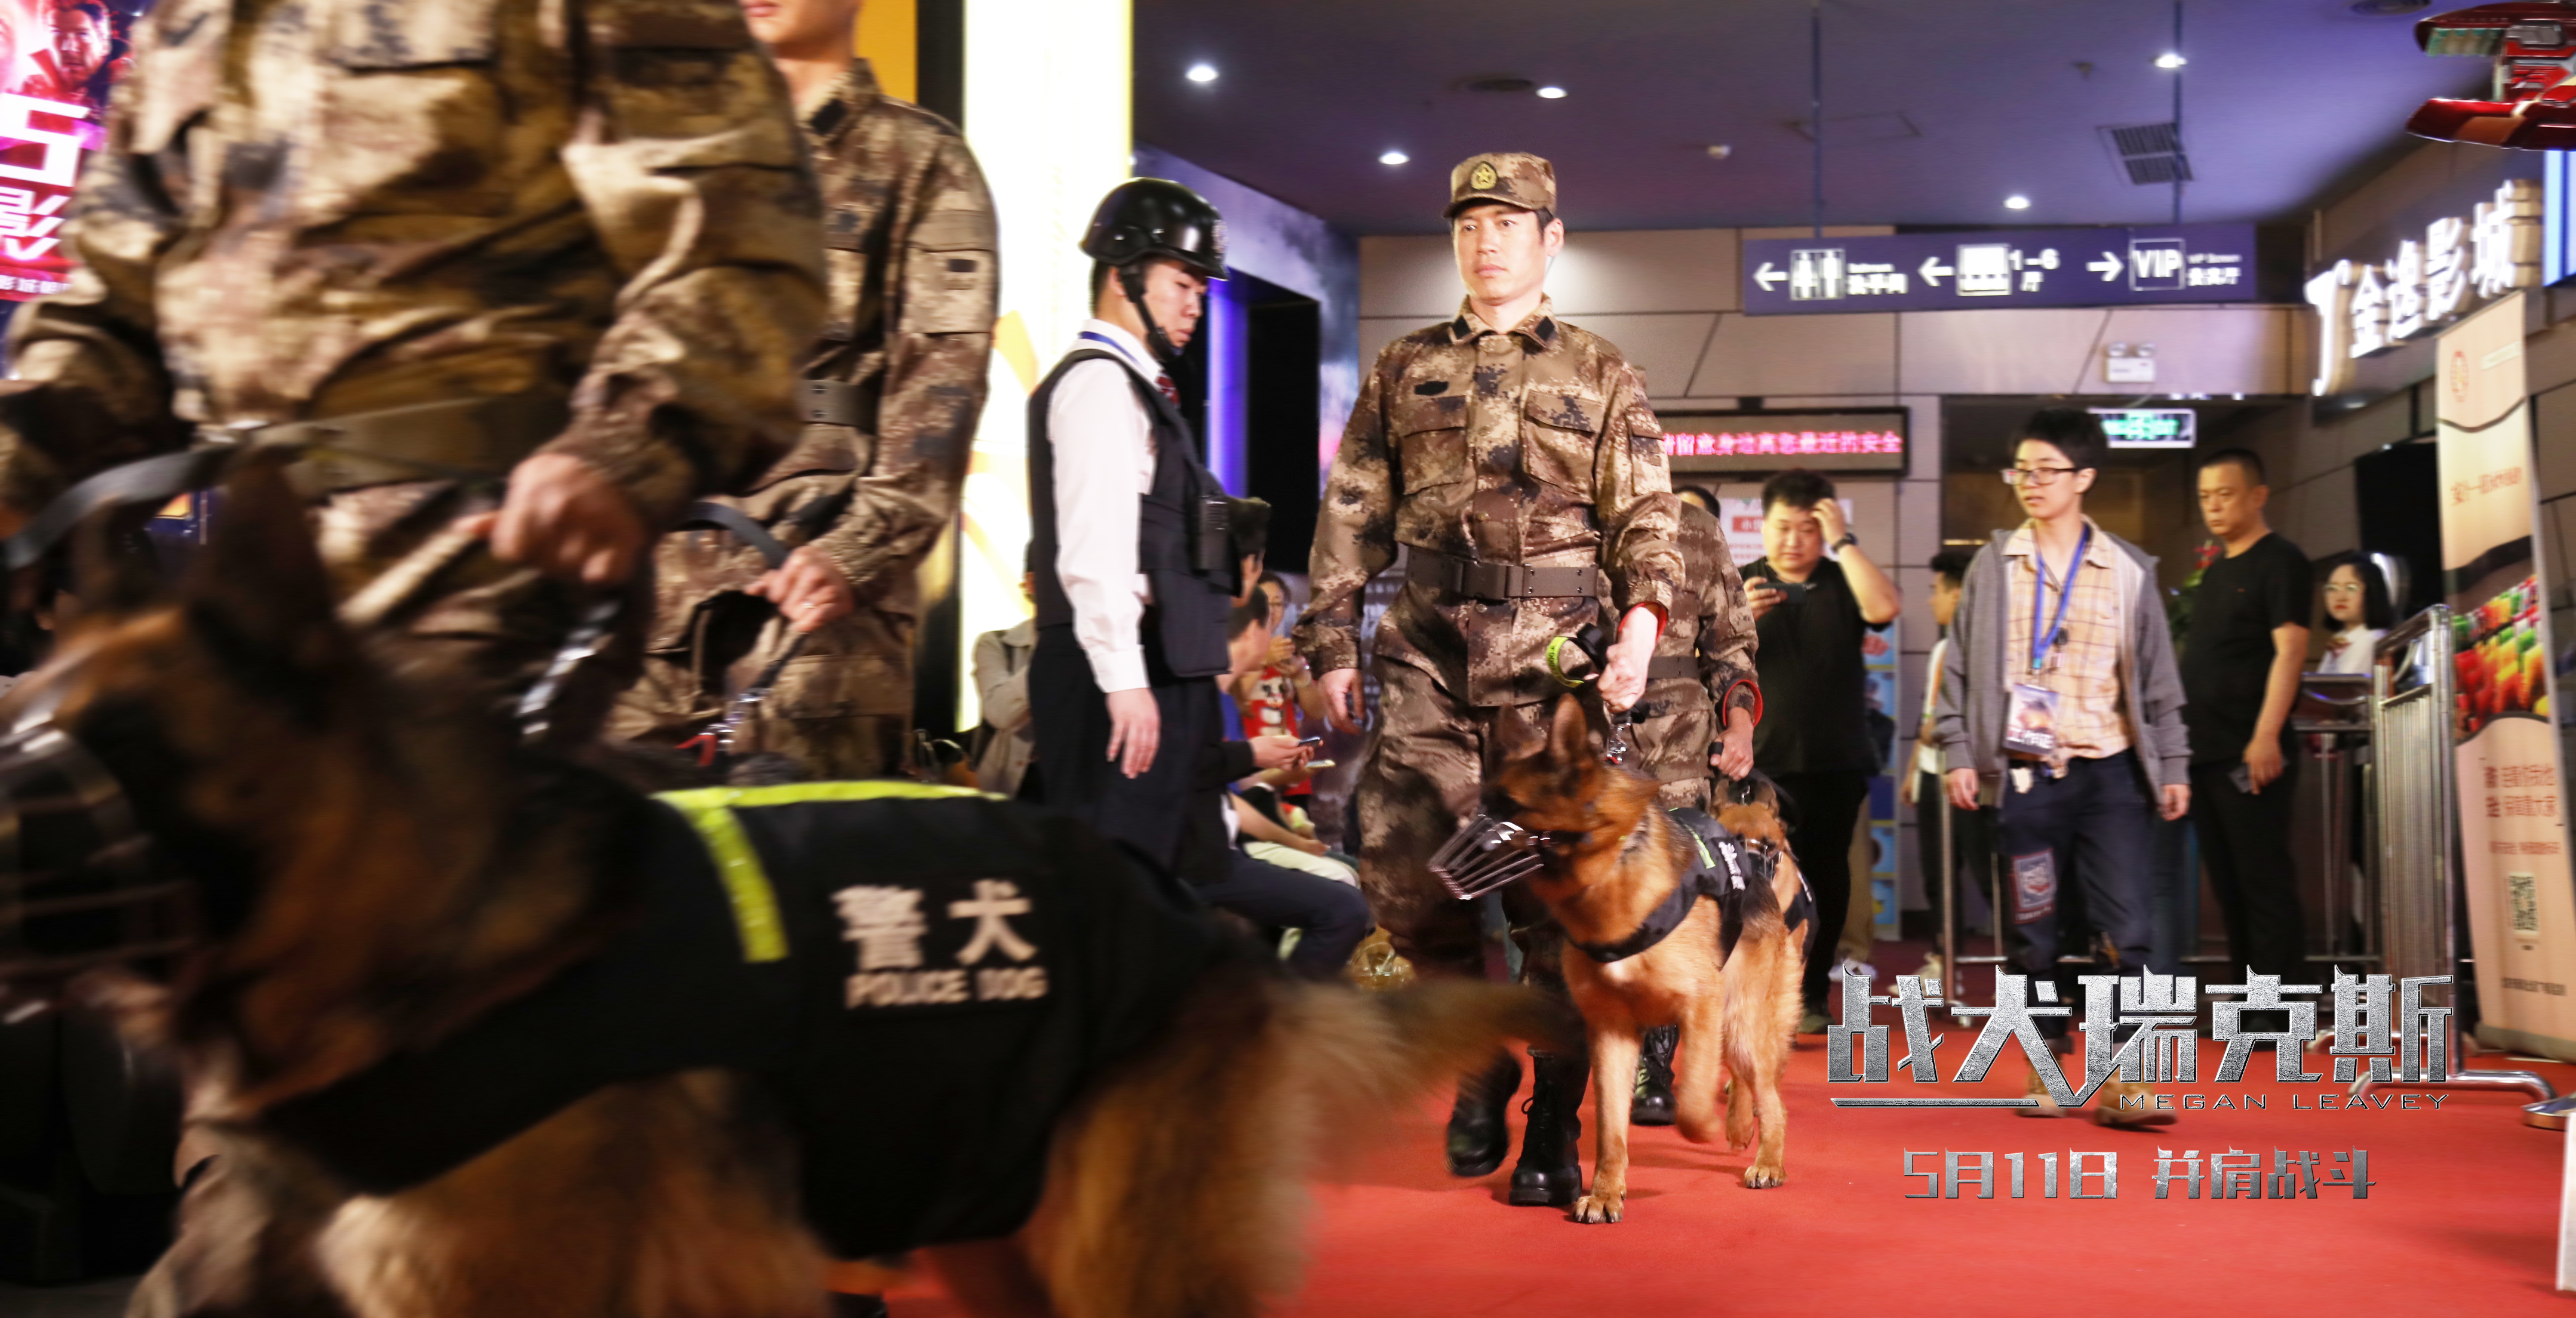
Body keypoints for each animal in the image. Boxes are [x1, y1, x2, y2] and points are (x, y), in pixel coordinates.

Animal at [1473, 695, 1813, 1220]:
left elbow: (1693, 1098)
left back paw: (1767, 1159)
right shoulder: (1611, 1034)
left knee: (1768, 1096)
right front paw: (1606, 1191)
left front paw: (1704, 1127)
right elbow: (1610, 1127)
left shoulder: (1701, 1007)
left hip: (1740, 1024)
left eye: (1511, 811)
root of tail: (1756, 879)